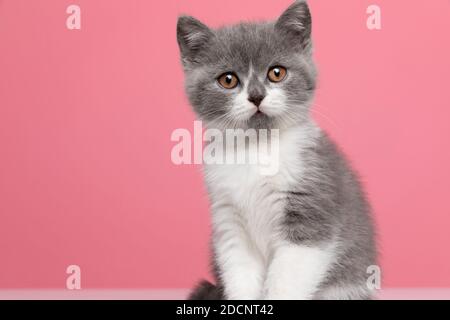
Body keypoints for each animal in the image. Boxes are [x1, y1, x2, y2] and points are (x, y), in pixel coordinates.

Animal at [176, 0, 376, 300]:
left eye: (276, 73)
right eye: (227, 80)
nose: (256, 95)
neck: (257, 148)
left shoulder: (309, 214)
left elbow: (287, 281)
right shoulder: (229, 222)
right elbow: (240, 275)